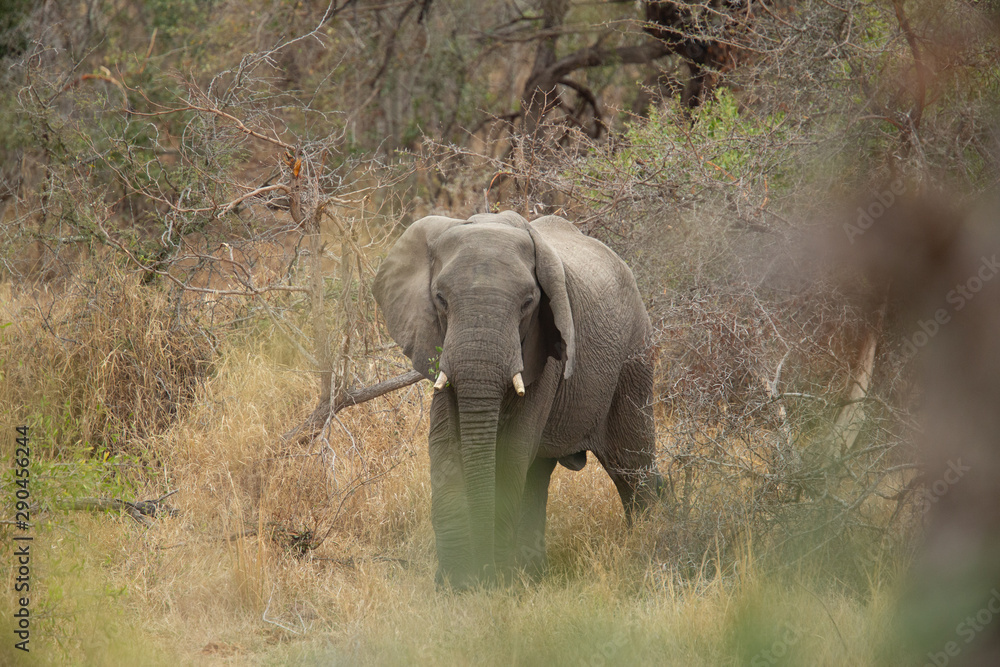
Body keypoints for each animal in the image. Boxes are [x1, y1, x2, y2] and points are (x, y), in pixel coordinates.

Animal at [373, 210, 662, 589]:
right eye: (440, 299)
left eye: (528, 303)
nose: (481, 574)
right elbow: (445, 445)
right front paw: (455, 584)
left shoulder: (549, 348)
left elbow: (511, 449)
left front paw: (492, 580)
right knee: (540, 472)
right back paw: (533, 573)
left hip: (634, 359)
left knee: (631, 466)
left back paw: (645, 553)